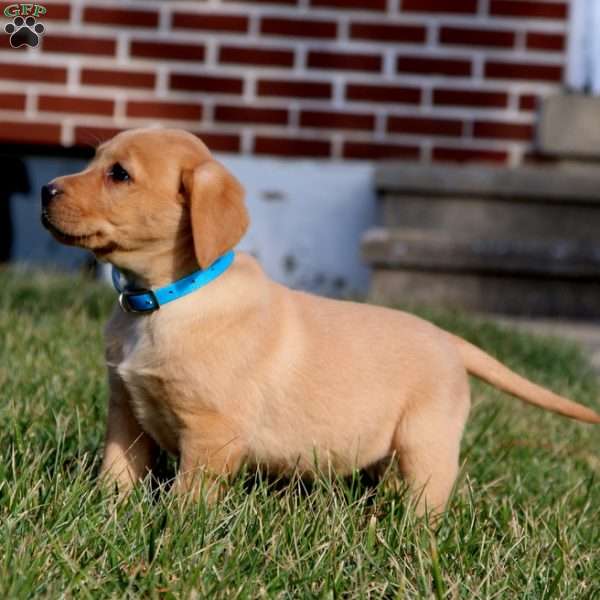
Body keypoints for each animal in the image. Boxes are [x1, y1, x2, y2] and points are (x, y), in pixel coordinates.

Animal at [42, 129, 600, 512]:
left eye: (119, 175)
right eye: (92, 160)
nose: (46, 189)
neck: (165, 299)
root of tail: (448, 337)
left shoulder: (211, 433)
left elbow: (190, 497)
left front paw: (172, 532)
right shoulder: (126, 410)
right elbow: (117, 471)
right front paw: (107, 514)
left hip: (426, 440)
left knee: (428, 498)